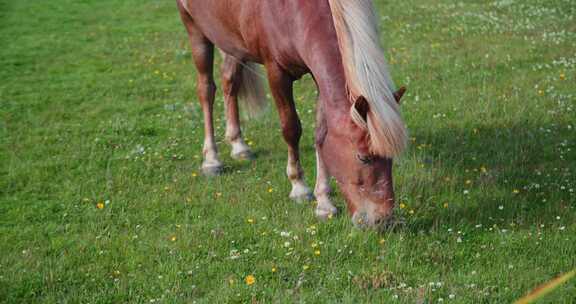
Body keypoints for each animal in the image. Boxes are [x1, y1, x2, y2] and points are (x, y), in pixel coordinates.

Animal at [178, 0, 408, 228]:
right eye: (363, 158)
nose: (383, 221)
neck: (293, 12)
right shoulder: (276, 72)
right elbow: (291, 129)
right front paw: (299, 187)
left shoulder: (317, 75)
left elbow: (321, 135)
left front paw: (324, 203)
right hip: (195, 29)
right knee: (206, 90)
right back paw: (211, 160)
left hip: (231, 41)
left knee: (230, 81)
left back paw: (239, 145)